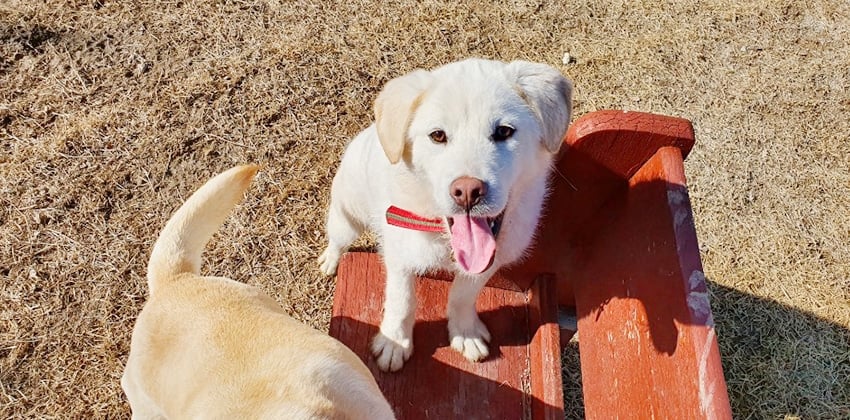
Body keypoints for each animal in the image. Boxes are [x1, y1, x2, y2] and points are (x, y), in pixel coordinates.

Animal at [318, 58, 568, 370]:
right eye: (438, 135)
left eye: (504, 131)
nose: (468, 191)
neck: (444, 238)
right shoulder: (399, 257)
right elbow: (402, 301)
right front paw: (394, 343)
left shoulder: (489, 263)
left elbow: (463, 296)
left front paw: (465, 333)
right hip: (347, 217)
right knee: (338, 239)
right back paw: (329, 261)